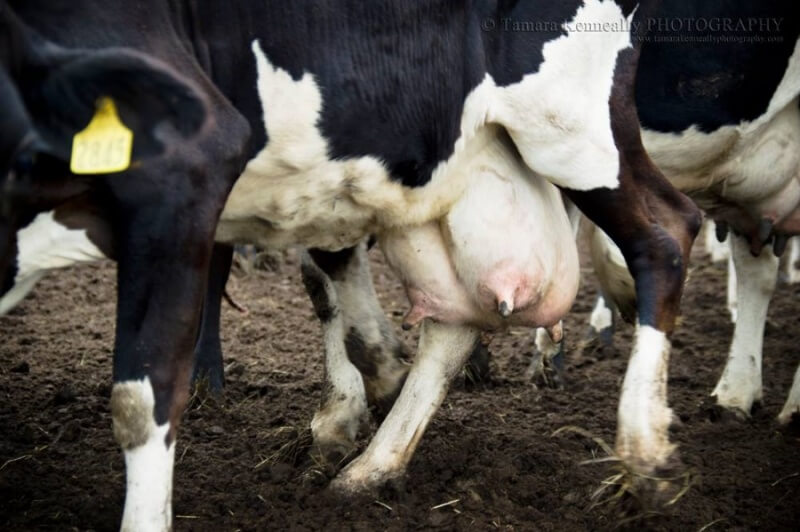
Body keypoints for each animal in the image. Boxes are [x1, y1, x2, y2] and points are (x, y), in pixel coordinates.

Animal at [1, 1, 708, 528]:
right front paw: (364, 389)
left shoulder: (185, 176)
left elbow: (142, 400)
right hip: (456, 165)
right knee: (455, 318)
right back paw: (373, 465)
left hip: (572, 127)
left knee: (667, 232)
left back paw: (644, 454)